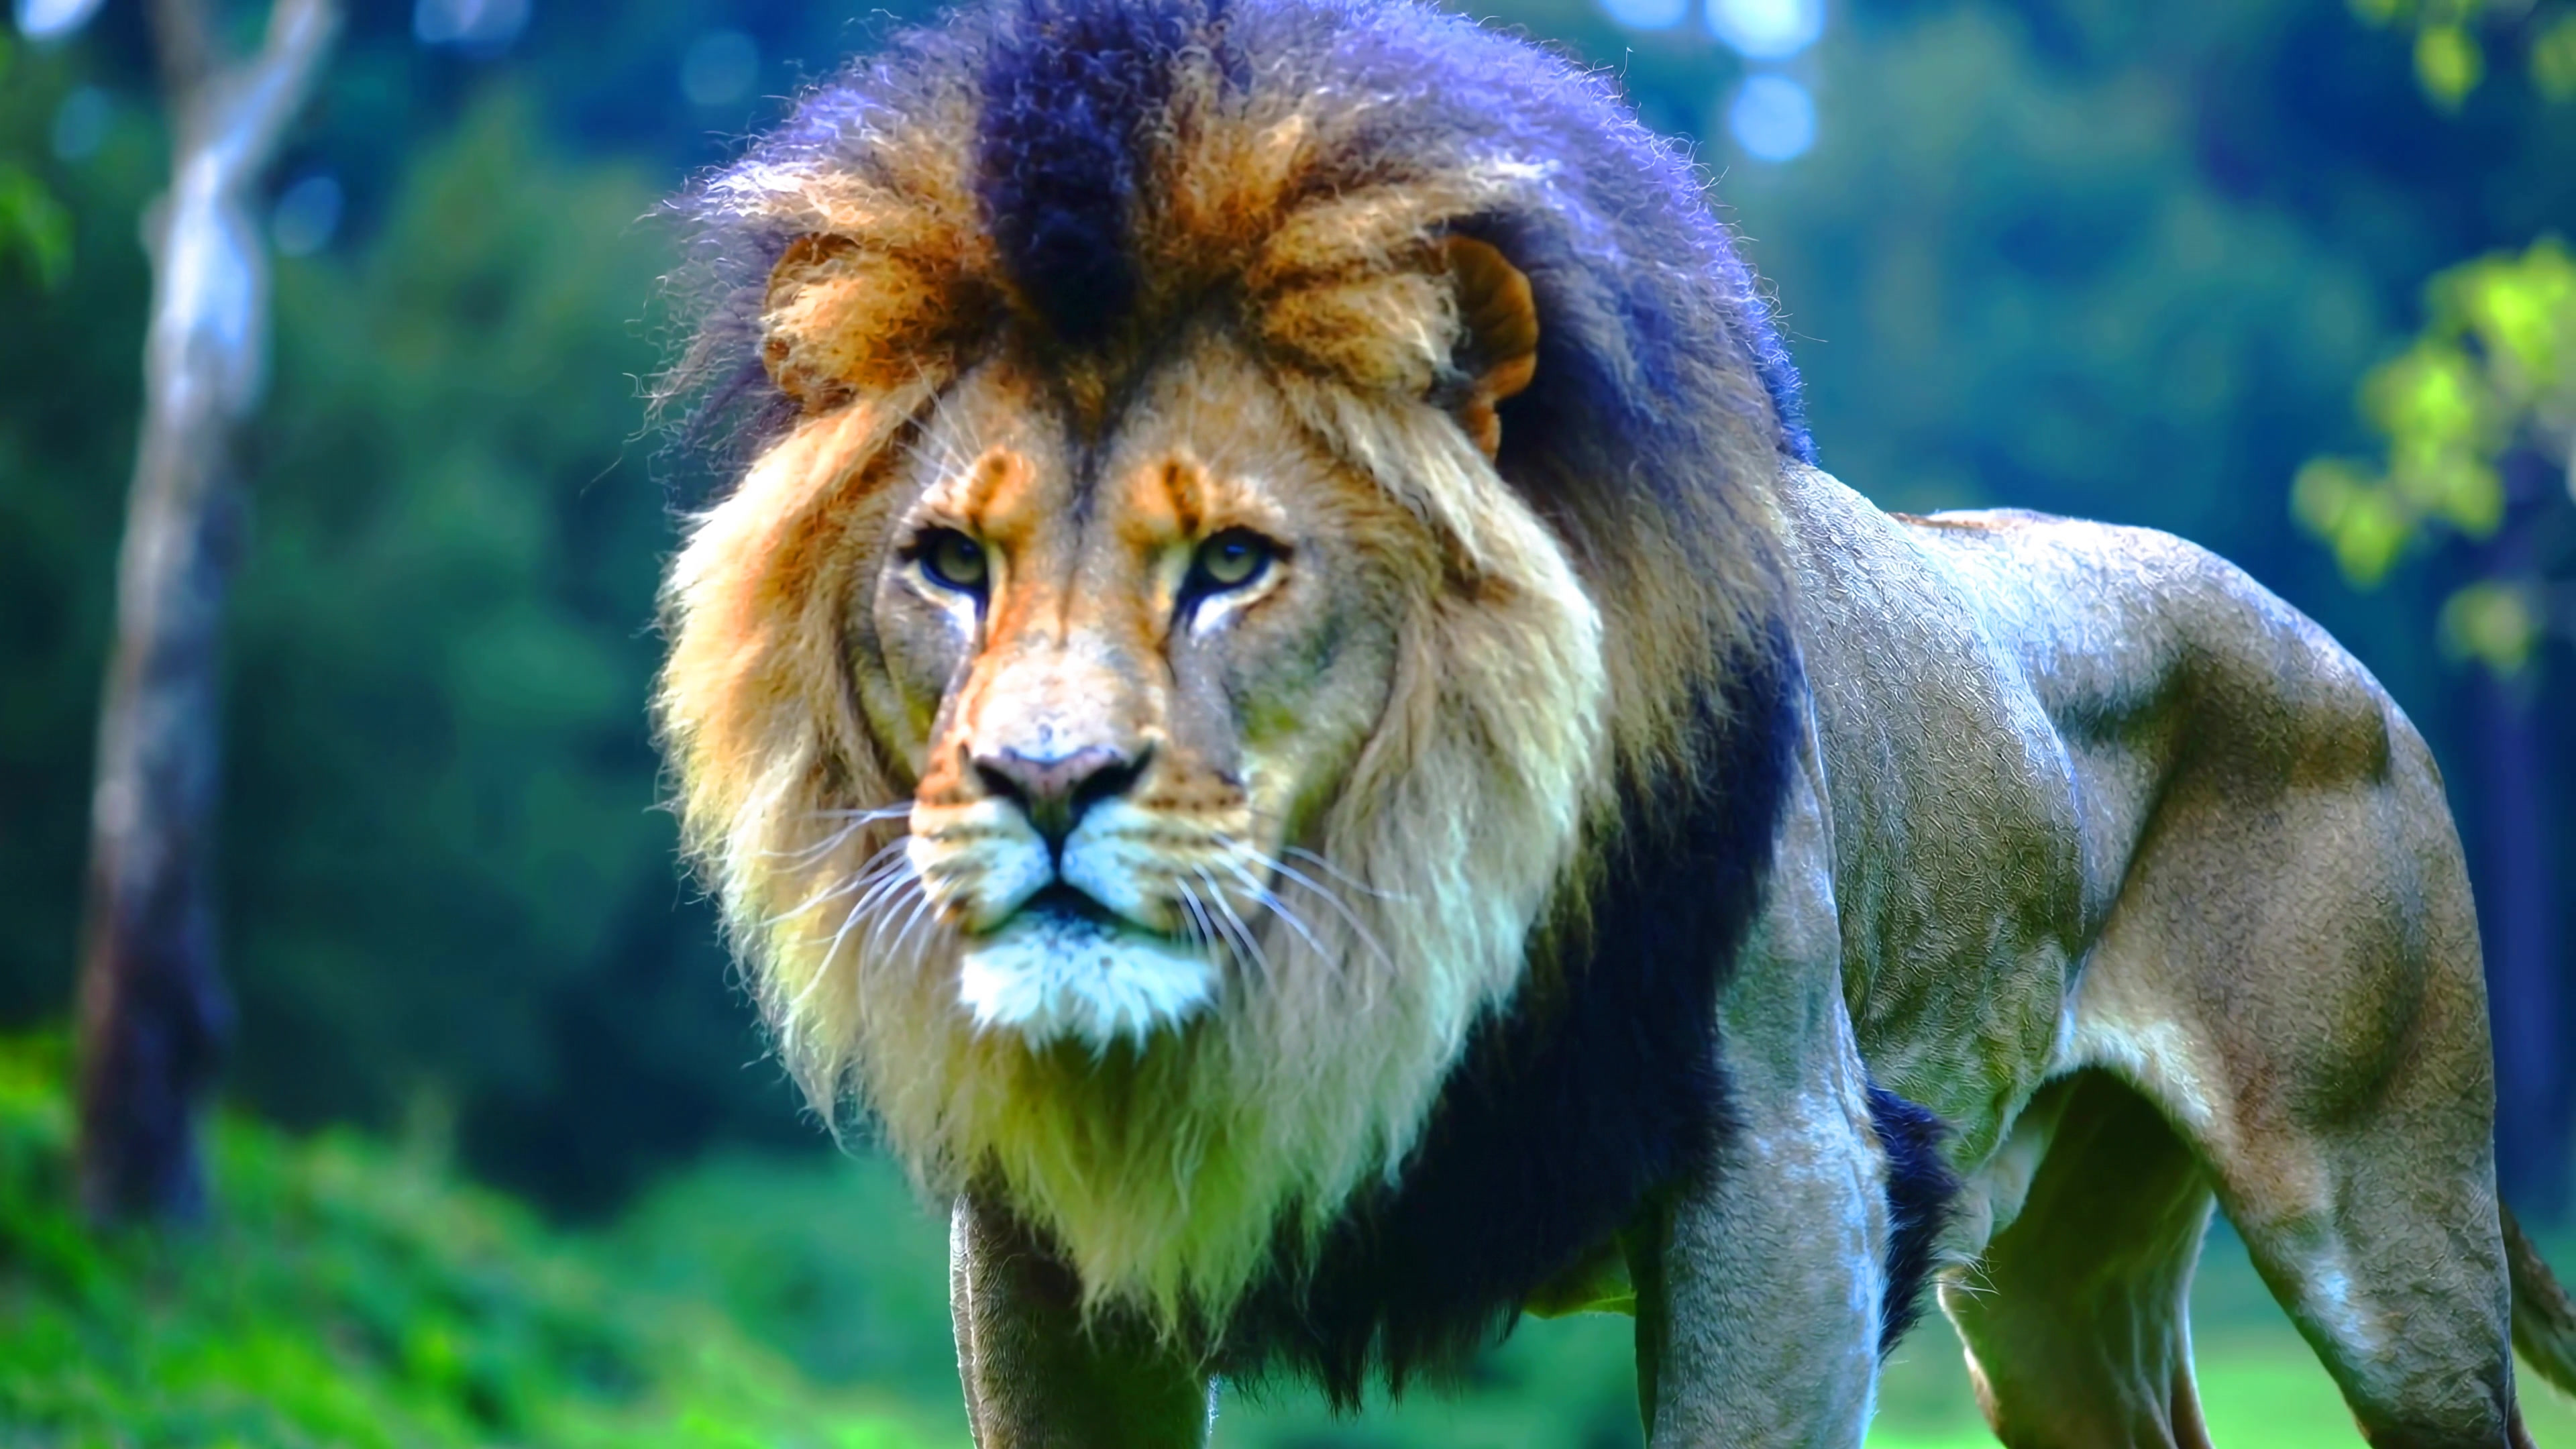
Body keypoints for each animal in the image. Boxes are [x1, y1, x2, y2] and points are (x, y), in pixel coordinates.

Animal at [651, 0, 2576, 1441]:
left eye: (1233, 564)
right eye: (949, 565)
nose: (1044, 784)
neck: (1370, 924)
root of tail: (2339, 657)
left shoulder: (1791, 1177)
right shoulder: (1044, 1255)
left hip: (2382, 1231)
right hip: (2056, 1288)